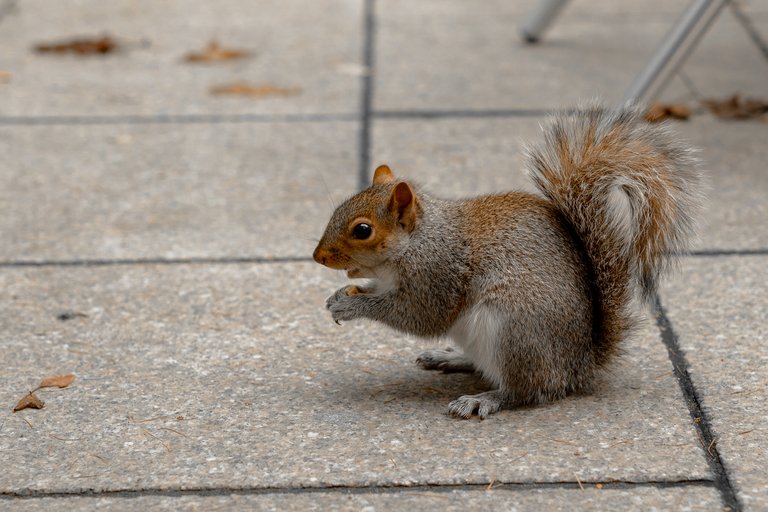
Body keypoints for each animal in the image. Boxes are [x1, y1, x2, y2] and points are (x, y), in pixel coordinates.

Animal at [310, 105, 704, 420]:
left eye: (363, 230)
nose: (318, 256)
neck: (417, 242)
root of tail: (579, 366)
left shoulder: (438, 274)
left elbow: (419, 316)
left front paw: (352, 305)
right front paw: (339, 295)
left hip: (513, 331)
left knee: (528, 391)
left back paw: (484, 399)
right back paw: (450, 358)